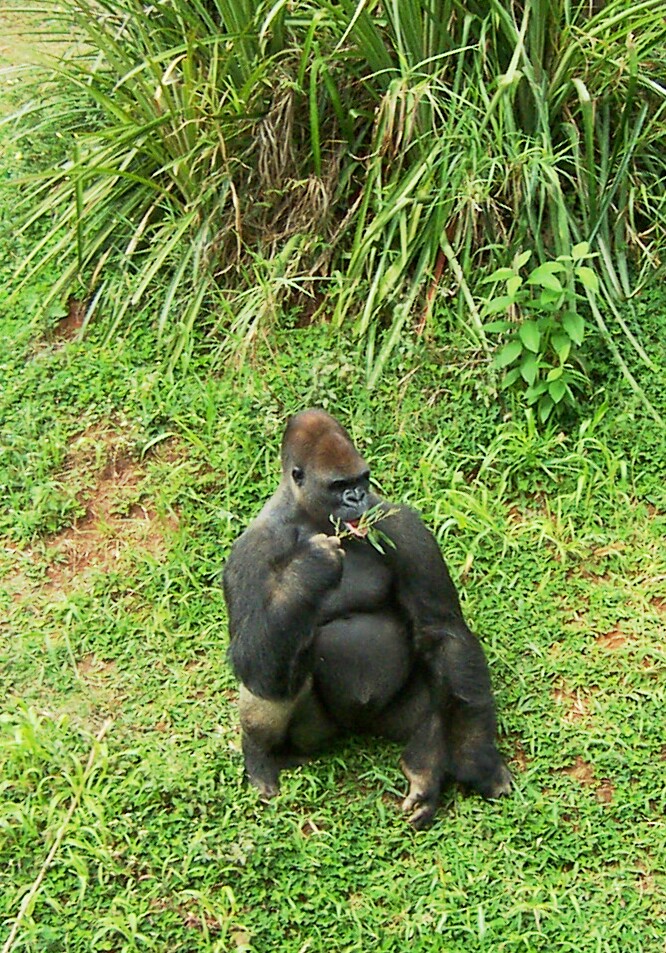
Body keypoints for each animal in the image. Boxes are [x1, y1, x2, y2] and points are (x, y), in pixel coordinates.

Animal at [223, 409, 511, 828]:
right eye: (339, 484)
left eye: (361, 480)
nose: (356, 498)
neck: (308, 516)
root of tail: (359, 729)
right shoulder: (250, 551)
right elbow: (251, 660)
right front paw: (309, 568)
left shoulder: (401, 524)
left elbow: (441, 630)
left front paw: (476, 753)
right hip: (317, 733)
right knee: (280, 675)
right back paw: (260, 755)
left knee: (439, 695)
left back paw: (425, 768)